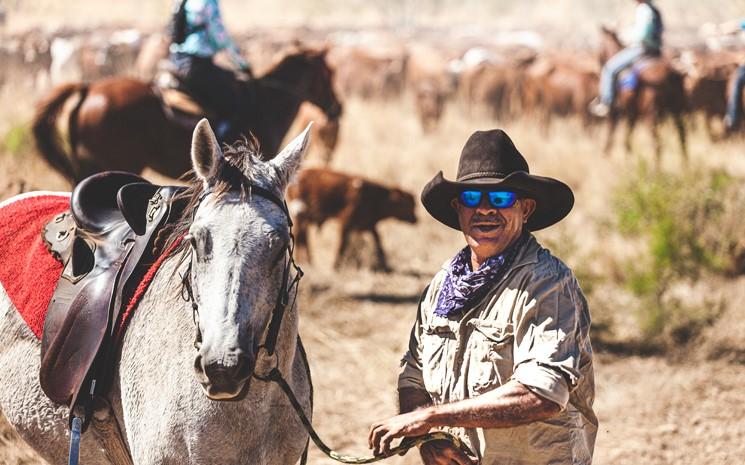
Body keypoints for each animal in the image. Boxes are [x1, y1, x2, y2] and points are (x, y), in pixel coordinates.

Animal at [286, 168, 418, 270]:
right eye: (408, 205)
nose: (416, 219)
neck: (375, 197)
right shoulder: (345, 223)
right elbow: (342, 245)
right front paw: (335, 266)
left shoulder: (369, 225)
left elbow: (378, 242)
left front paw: (385, 265)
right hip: (301, 216)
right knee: (300, 236)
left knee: (303, 237)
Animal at [600, 26, 684, 165]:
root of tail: (670, 73)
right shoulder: (631, 114)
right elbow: (627, 139)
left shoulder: (615, 112)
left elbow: (611, 134)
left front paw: (607, 156)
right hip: (676, 111)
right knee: (682, 137)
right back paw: (685, 165)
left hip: (650, 115)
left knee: (657, 143)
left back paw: (656, 168)